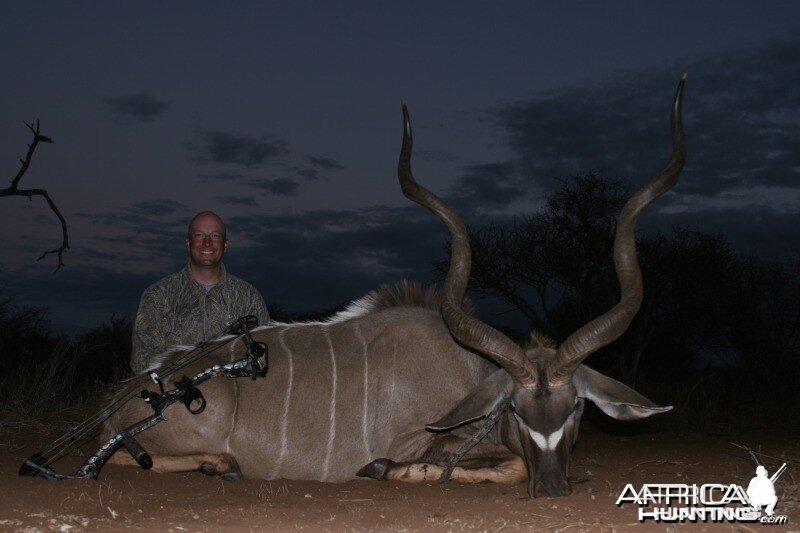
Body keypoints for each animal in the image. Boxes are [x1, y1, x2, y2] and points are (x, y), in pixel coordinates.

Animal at [101, 77, 688, 496]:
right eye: (516, 411)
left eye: (577, 408)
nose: (553, 488)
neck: (466, 371)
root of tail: (119, 402)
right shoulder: (419, 439)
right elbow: (501, 464)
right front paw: (386, 469)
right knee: (131, 457)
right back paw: (218, 463)